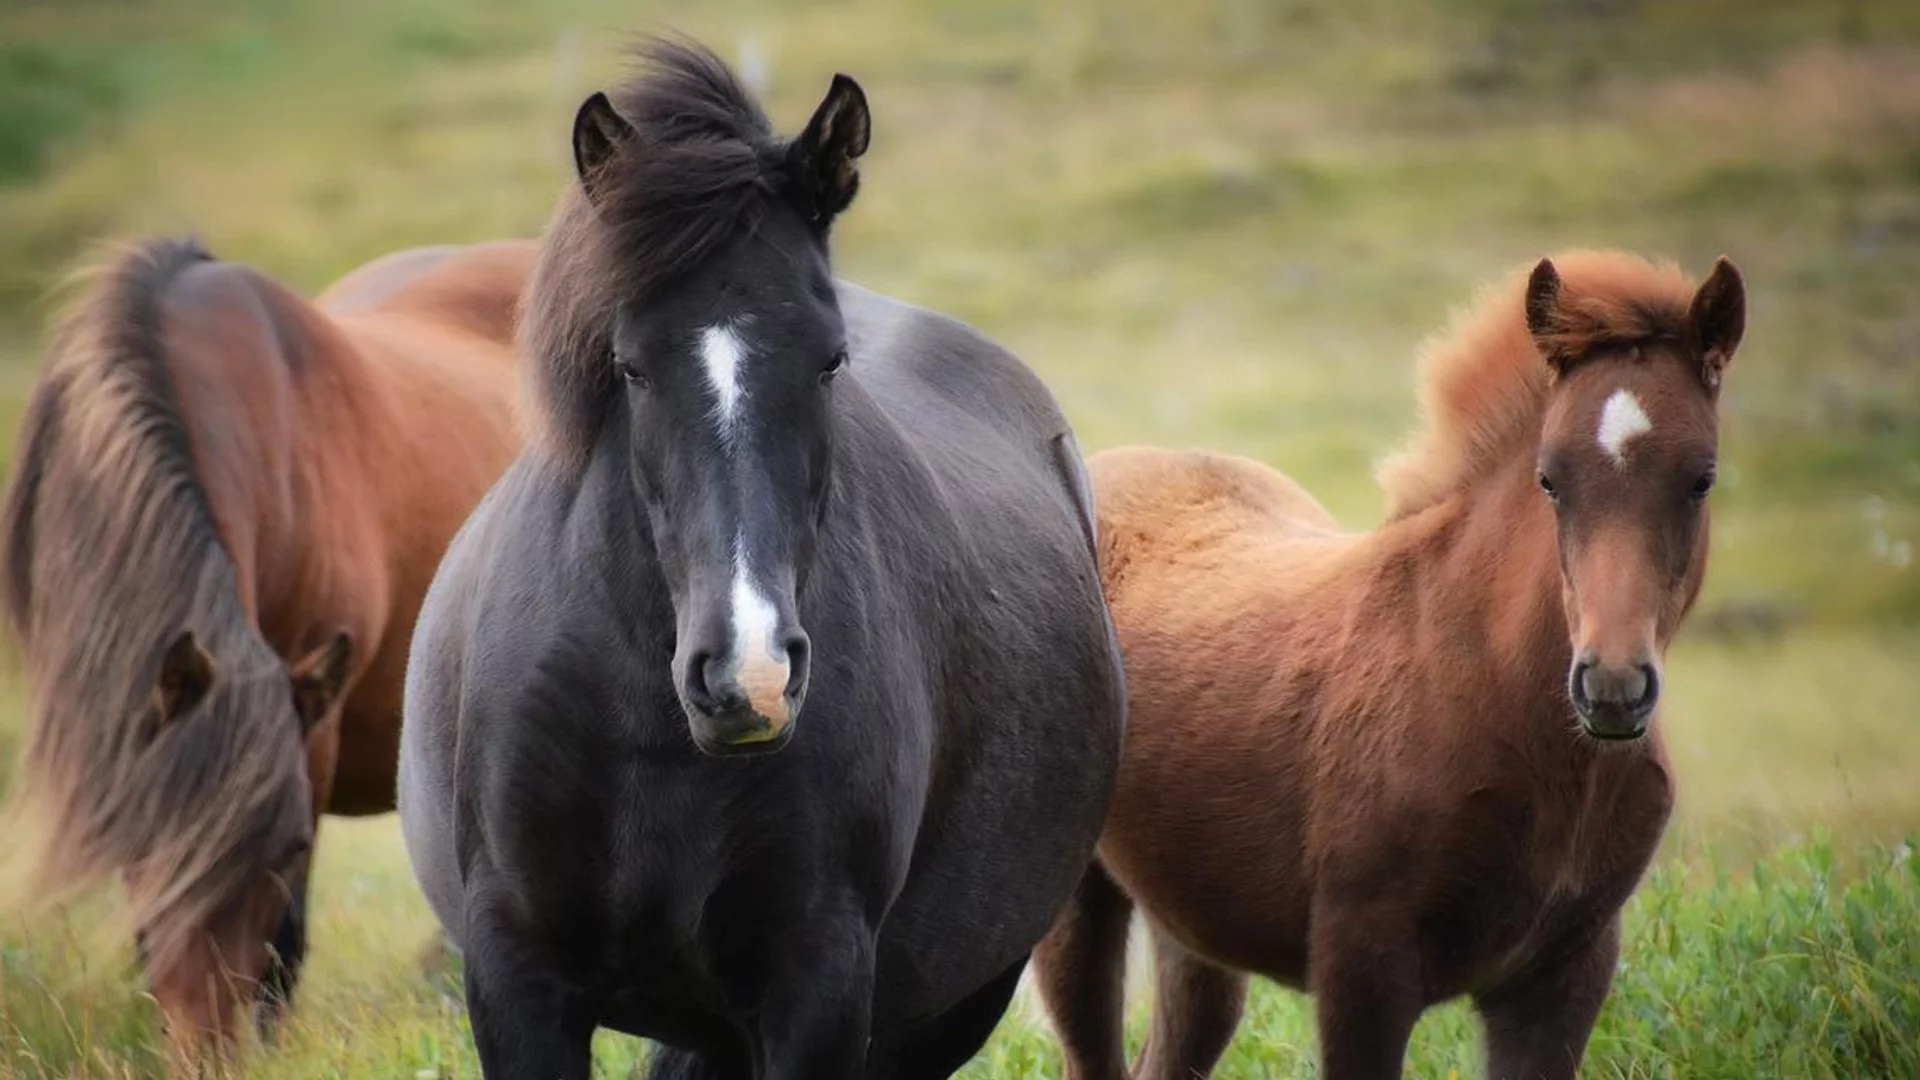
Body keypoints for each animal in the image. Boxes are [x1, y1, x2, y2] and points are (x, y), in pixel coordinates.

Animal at [399, 37, 1128, 1068]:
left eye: (829, 360)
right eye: (630, 365)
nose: (750, 677)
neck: (649, 730)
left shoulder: (816, 986)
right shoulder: (517, 979)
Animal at [1044, 251, 1751, 1076]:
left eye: (1701, 477)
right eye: (1549, 478)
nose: (1610, 688)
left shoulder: (1564, 974)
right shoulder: (1363, 965)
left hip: (1190, 924)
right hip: (1076, 904)